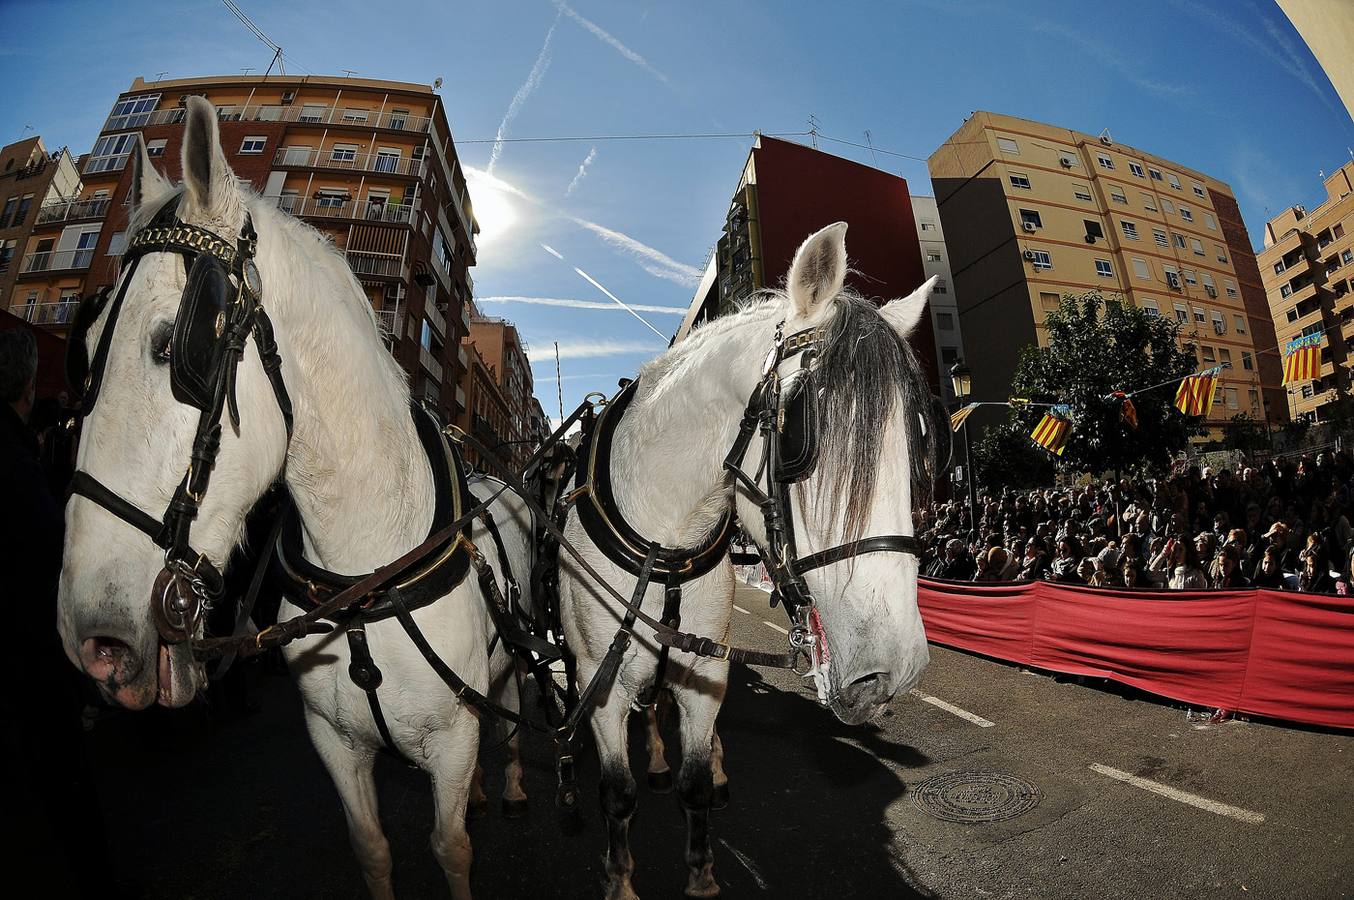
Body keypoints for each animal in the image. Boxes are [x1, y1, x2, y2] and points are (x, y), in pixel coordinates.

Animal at [60, 94, 530, 893]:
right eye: (85, 353)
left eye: (172, 345)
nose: (95, 639)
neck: (365, 572)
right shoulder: (335, 742)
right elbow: (373, 846)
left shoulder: (451, 741)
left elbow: (451, 847)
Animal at [555, 219, 936, 898]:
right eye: (802, 436)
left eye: (917, 442)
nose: (895, 669)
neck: (665, 535)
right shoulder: (602, 677)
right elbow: (618, 793)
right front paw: (619, 879)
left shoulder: (704, 667)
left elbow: (694, 784)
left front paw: (701, 873)